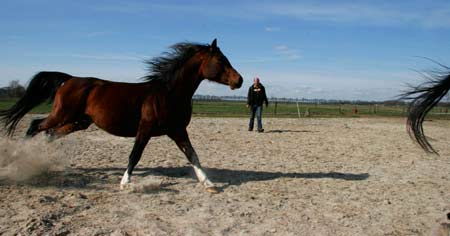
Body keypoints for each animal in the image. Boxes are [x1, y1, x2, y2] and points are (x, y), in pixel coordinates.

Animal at [0, 39, 243, 194]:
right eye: (221, 61)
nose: (239, 80)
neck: (168, 93)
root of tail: (69, 79)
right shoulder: (145, 128)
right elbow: (134, 155)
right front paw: (125, 183)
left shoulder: (177, 130)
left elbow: (193, 155)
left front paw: (209, 184)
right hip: (62, 114)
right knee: (35, 125)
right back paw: (16, 156)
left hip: (79, 121)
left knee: (49, 134)